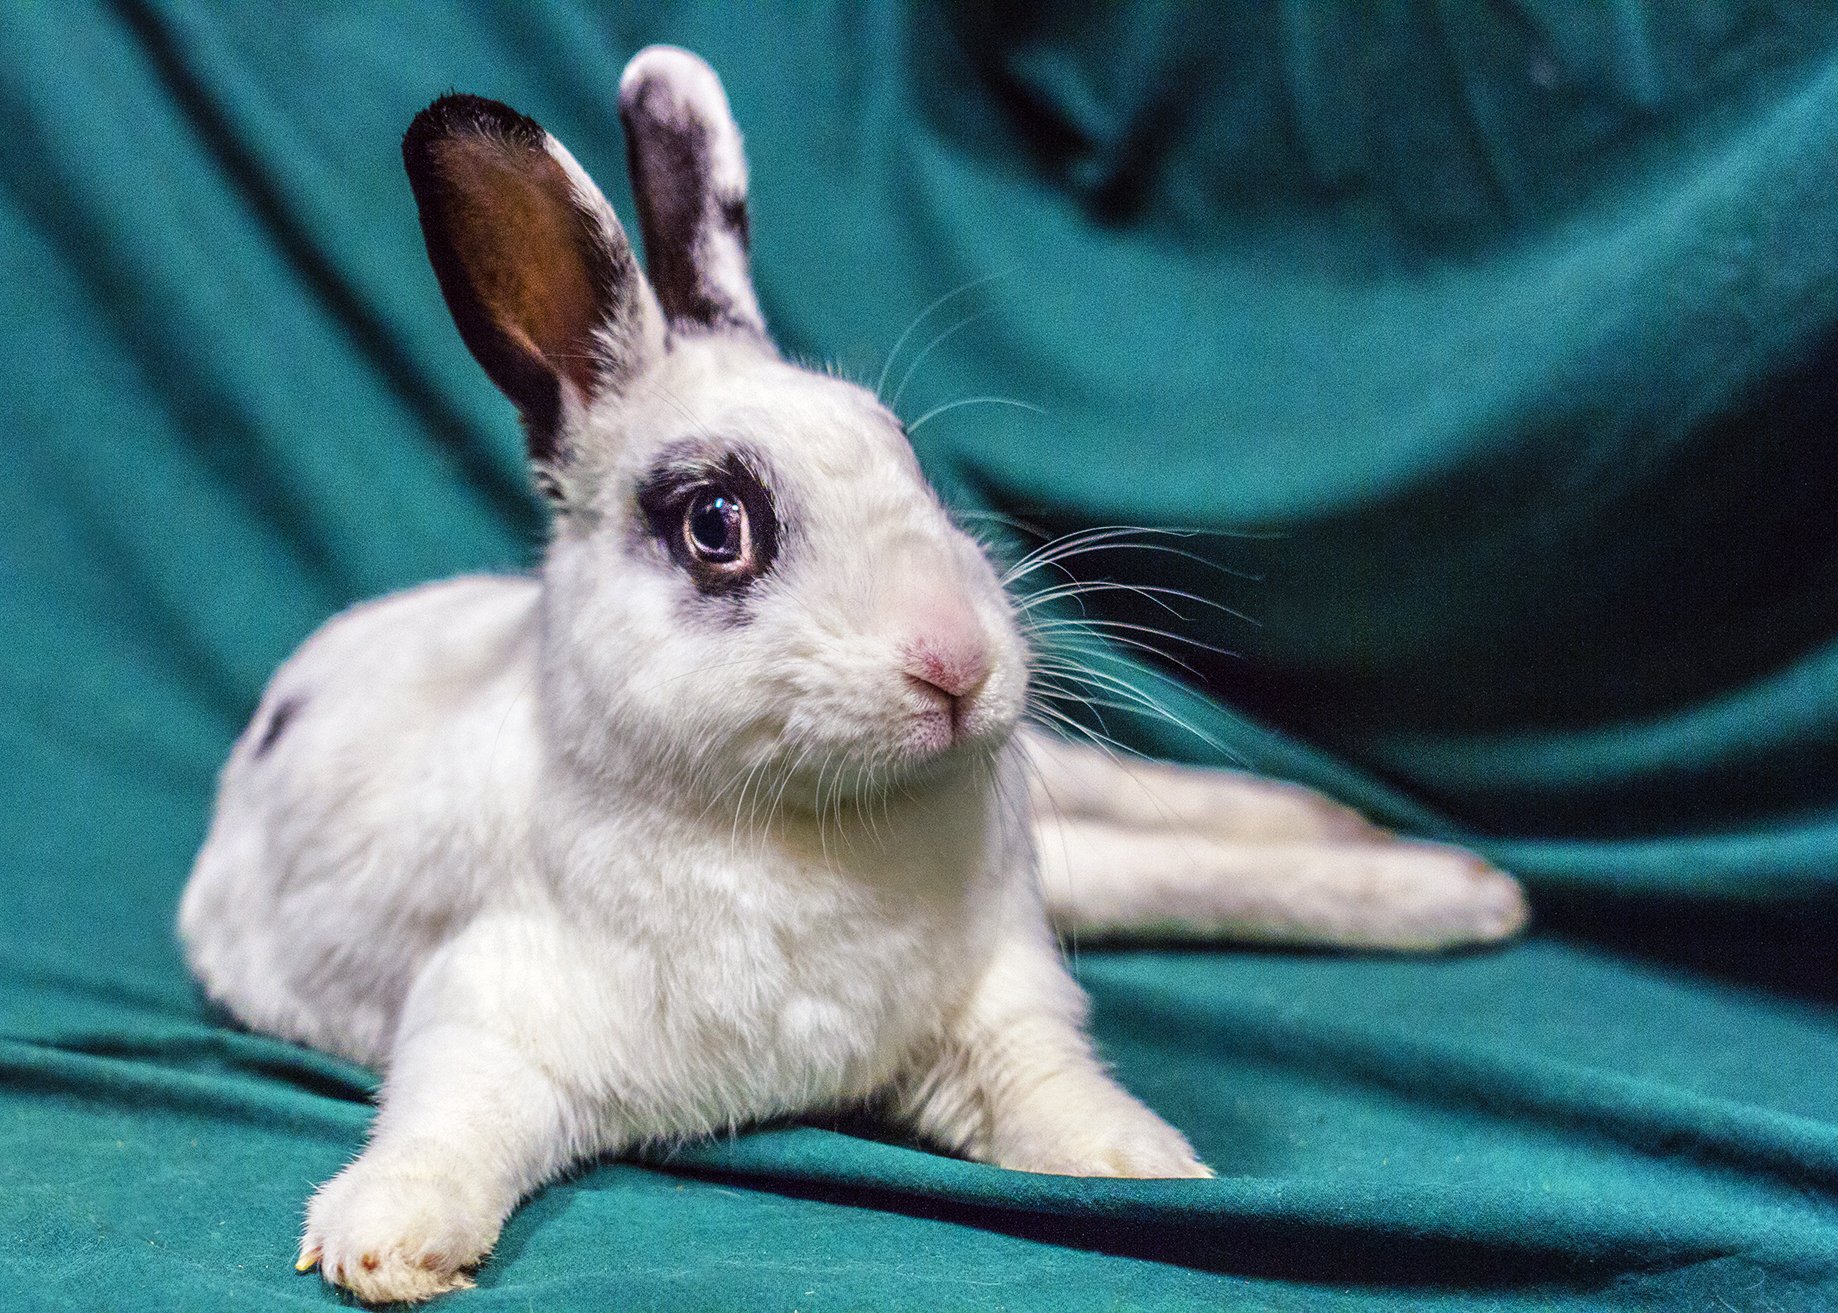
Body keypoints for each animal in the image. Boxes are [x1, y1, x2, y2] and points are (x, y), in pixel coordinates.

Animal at [179, 45, 1529, 1301]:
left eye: (903, 457)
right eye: (714, 524)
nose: (957, 664)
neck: (817, 831)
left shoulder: (1000, 1000)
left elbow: (1059, 1090)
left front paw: (1148, 1161)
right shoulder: (484, 1014)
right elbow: (445, 1119)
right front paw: (382, 1240)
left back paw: (1440, 877)